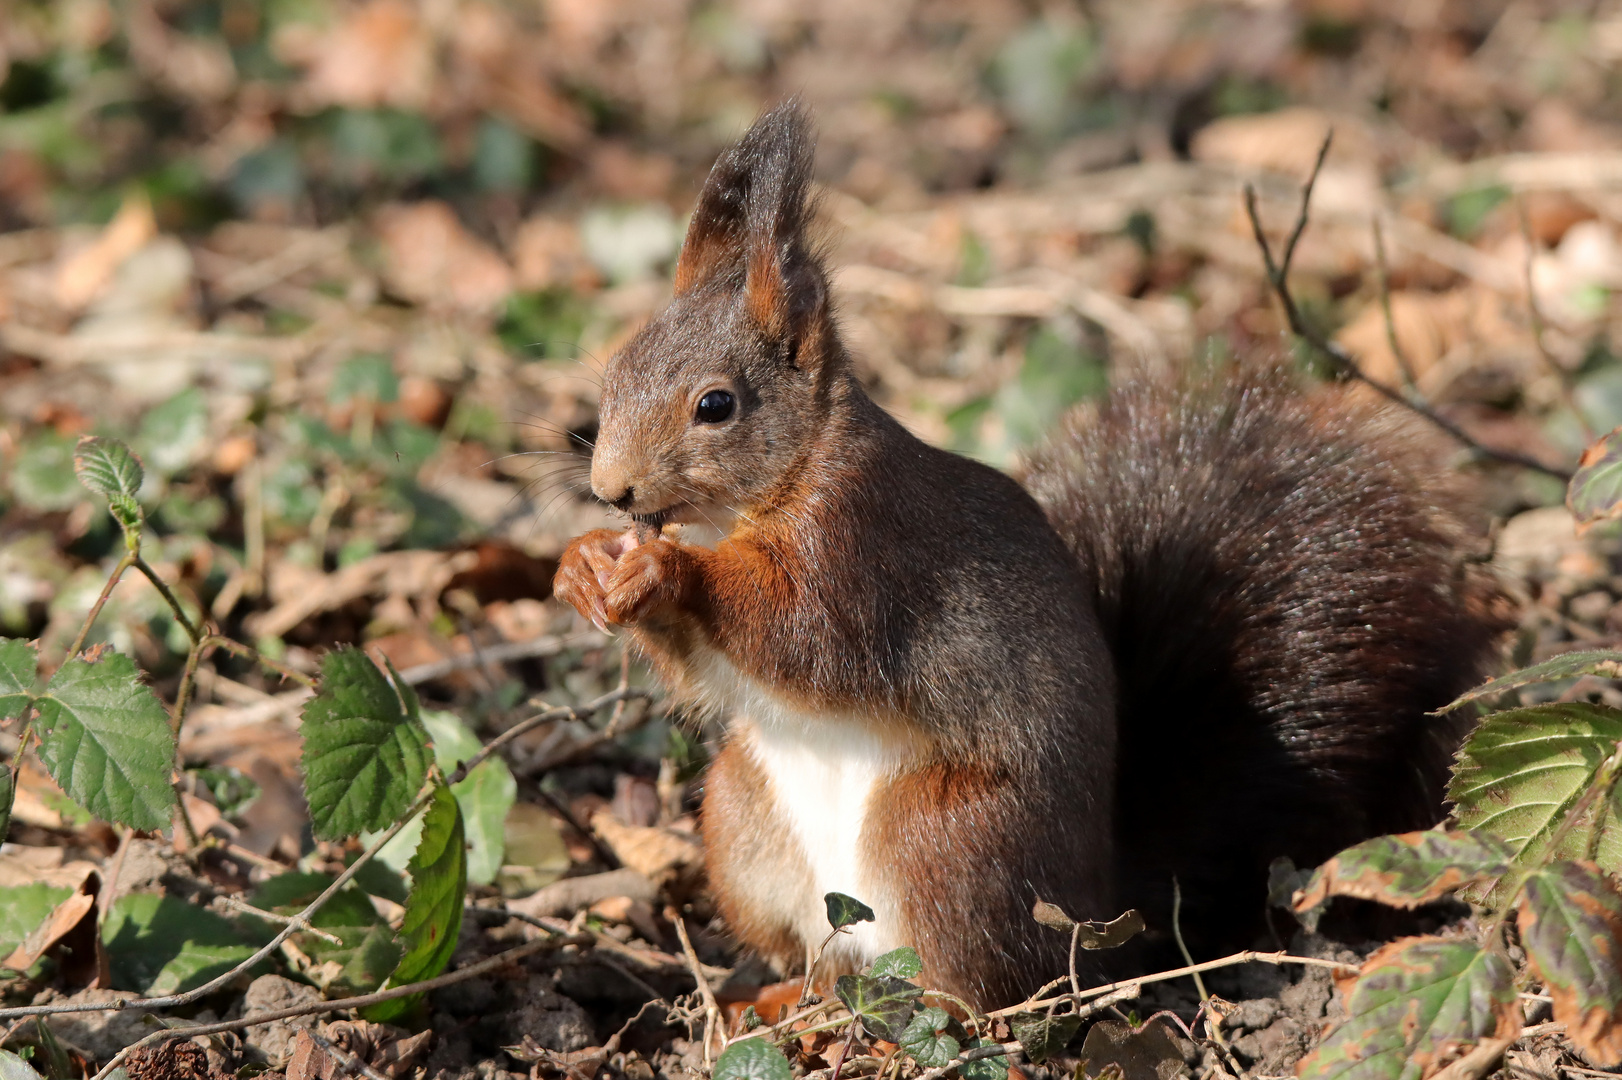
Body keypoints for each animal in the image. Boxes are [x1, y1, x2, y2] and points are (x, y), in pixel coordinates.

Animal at [554, 100, 1505, 998]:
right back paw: (785, 999)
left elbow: (804, 634)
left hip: (943, 836)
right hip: (740, 815)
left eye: (716, 406)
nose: (611, 488)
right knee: (822, 954)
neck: (760, 494)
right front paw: (584, 568)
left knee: (980, 986)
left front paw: (665, 569)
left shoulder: (862, 545)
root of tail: (1100, 897)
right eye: (616, 373)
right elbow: (707, 674)